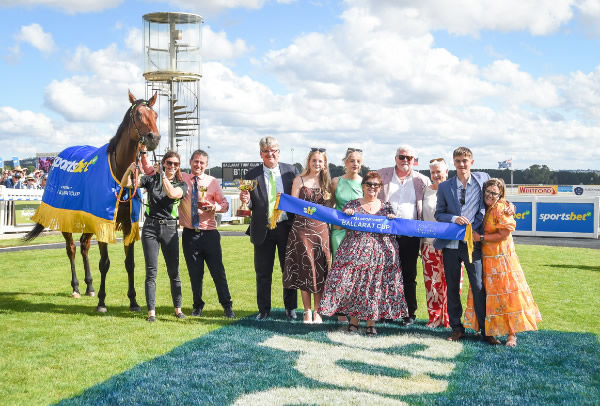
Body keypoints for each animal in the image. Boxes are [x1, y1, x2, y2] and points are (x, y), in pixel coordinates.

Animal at [23, 91, 161, 314]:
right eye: (139, 114)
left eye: (155, 115)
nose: (154, 138)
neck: (119, 175)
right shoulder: (104, 221)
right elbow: (104, 263)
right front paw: (103, 303)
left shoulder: (126, 223)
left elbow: (129, 263)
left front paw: (133, 301)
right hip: (66, 217)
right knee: (71, 248)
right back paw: (76, 287)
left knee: (84, 246)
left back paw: (89, 286)